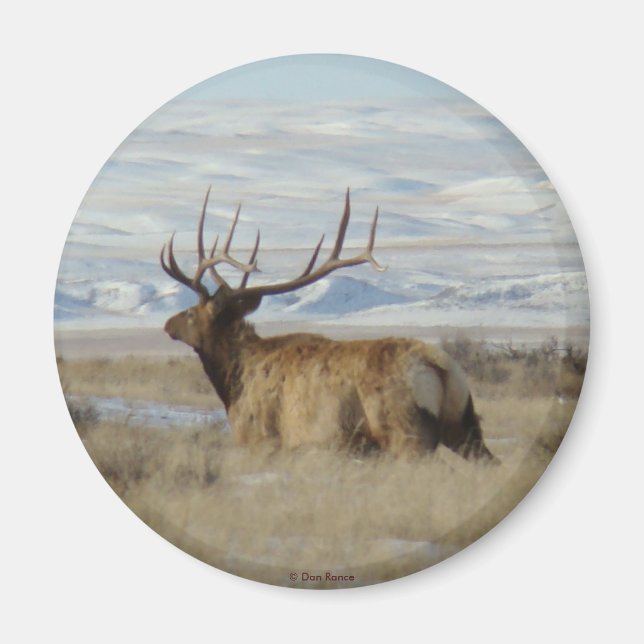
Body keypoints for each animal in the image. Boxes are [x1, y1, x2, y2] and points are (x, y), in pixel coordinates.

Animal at [160, 188, 496, 462]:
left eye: (191, 313)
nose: (167, 324)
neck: (233, 382)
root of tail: (440, 367)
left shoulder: (262, 439)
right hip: (464, 425)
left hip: (407, 431)